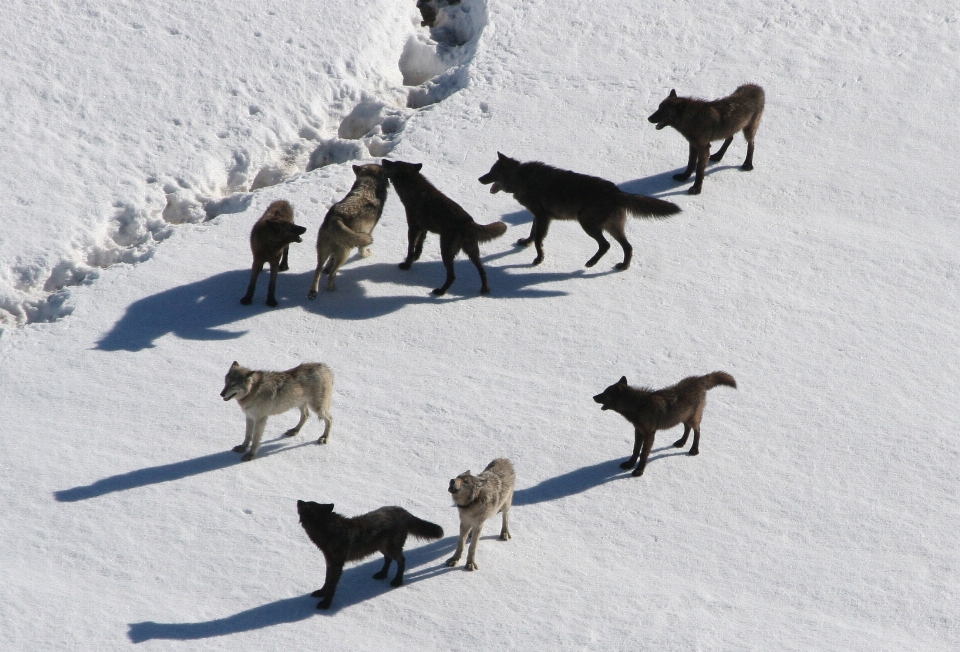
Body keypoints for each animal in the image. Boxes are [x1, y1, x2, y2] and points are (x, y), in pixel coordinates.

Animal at [296, 500, 442, 612]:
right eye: (308, 502)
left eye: (305, 505)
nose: (298, 500)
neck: (329, 530)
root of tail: (404, 512)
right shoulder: (330, 563)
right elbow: (326, 581)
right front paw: (321, 593)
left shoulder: (337, 565)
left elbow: (332, 585)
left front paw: (325, 604)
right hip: (382, 547)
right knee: (388, 559)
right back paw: (382, 574)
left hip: (391, 548)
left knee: (402, 560)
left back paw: (397, 581)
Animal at [304, 163, 386, 298]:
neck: (368, 184)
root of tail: (335, 217)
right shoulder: (368, 232)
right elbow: (362, 249)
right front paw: (365, 255)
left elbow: (329, 262)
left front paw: (327, 268)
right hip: (345, 254)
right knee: (333, 274)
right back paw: (332, 289)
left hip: (322, 252)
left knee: (318, 270)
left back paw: (313, 292)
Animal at [476, 154, 680, 268]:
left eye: (492, 172)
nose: (479, 179)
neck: (520, 177)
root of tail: (617, 191)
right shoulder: (539, 216)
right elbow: (533, 234)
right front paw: (525, 243)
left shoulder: (543, 217)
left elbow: (539, 241)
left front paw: (538, 259)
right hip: (612, 228)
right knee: (627, 247)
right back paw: (622, 266)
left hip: (587, 224)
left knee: (606, 245)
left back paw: (591, 263)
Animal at [588, 374, 740, 476]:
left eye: (605, 394)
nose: (593, 397)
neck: (638, 406)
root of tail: (700, 379)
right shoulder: (638, 430)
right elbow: (635, 450)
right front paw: (630, 464)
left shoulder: (650, 433)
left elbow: (644, 454)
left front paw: (639, 471)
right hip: (683, 418)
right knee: (687, 429)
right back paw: (681, 443)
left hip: (692, 419)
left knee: (697, 431)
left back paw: (694, 450)